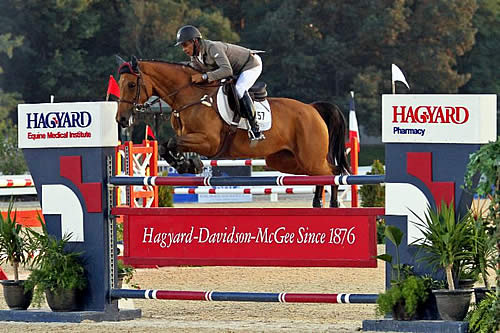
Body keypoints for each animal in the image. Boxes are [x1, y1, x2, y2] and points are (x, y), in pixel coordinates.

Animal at [115, 55, 350, 206]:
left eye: (131, 85)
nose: (122, 119)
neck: (190, 96)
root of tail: (312, 108)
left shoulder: (209, 142)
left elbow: (172, 143)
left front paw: (189, 164)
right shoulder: (188, 137)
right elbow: (166, 146)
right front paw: (187, 164)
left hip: (309, 157)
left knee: (332, 173)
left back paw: (333, 204)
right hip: (284, 160)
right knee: (323, 174)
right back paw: (318, 203)